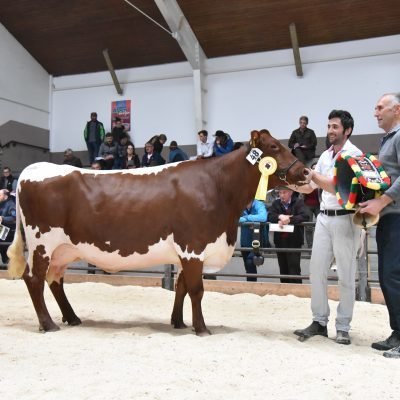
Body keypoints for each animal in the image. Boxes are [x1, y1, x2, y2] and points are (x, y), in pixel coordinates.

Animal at [7, 130, 307, 335]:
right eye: (273, 146)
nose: (305, 171)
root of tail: (36, 168)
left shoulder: (186, 253)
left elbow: (181, 287)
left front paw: (179, 322)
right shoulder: (193, 247)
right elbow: (196, 289)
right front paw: (201, 328)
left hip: (64, 249)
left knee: (55, 280)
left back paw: (72, 318)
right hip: (42, 243)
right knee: (34, 279)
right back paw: (48, 324)